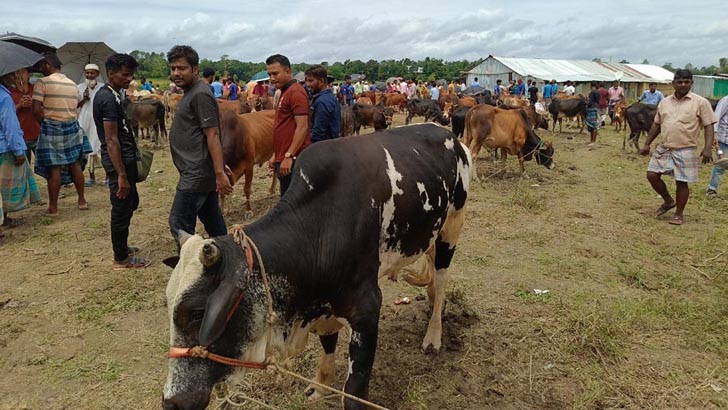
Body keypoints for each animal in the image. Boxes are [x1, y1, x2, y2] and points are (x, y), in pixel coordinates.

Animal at [163, 124, 472, 410]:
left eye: (197, 313)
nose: (171, 401)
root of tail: (450, 136)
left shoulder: (367, 311)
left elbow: (355, 391)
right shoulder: (324, 306)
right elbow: (328, 342)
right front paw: (321, 386)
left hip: (451, 229)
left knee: (441, 280)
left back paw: (433, 335)